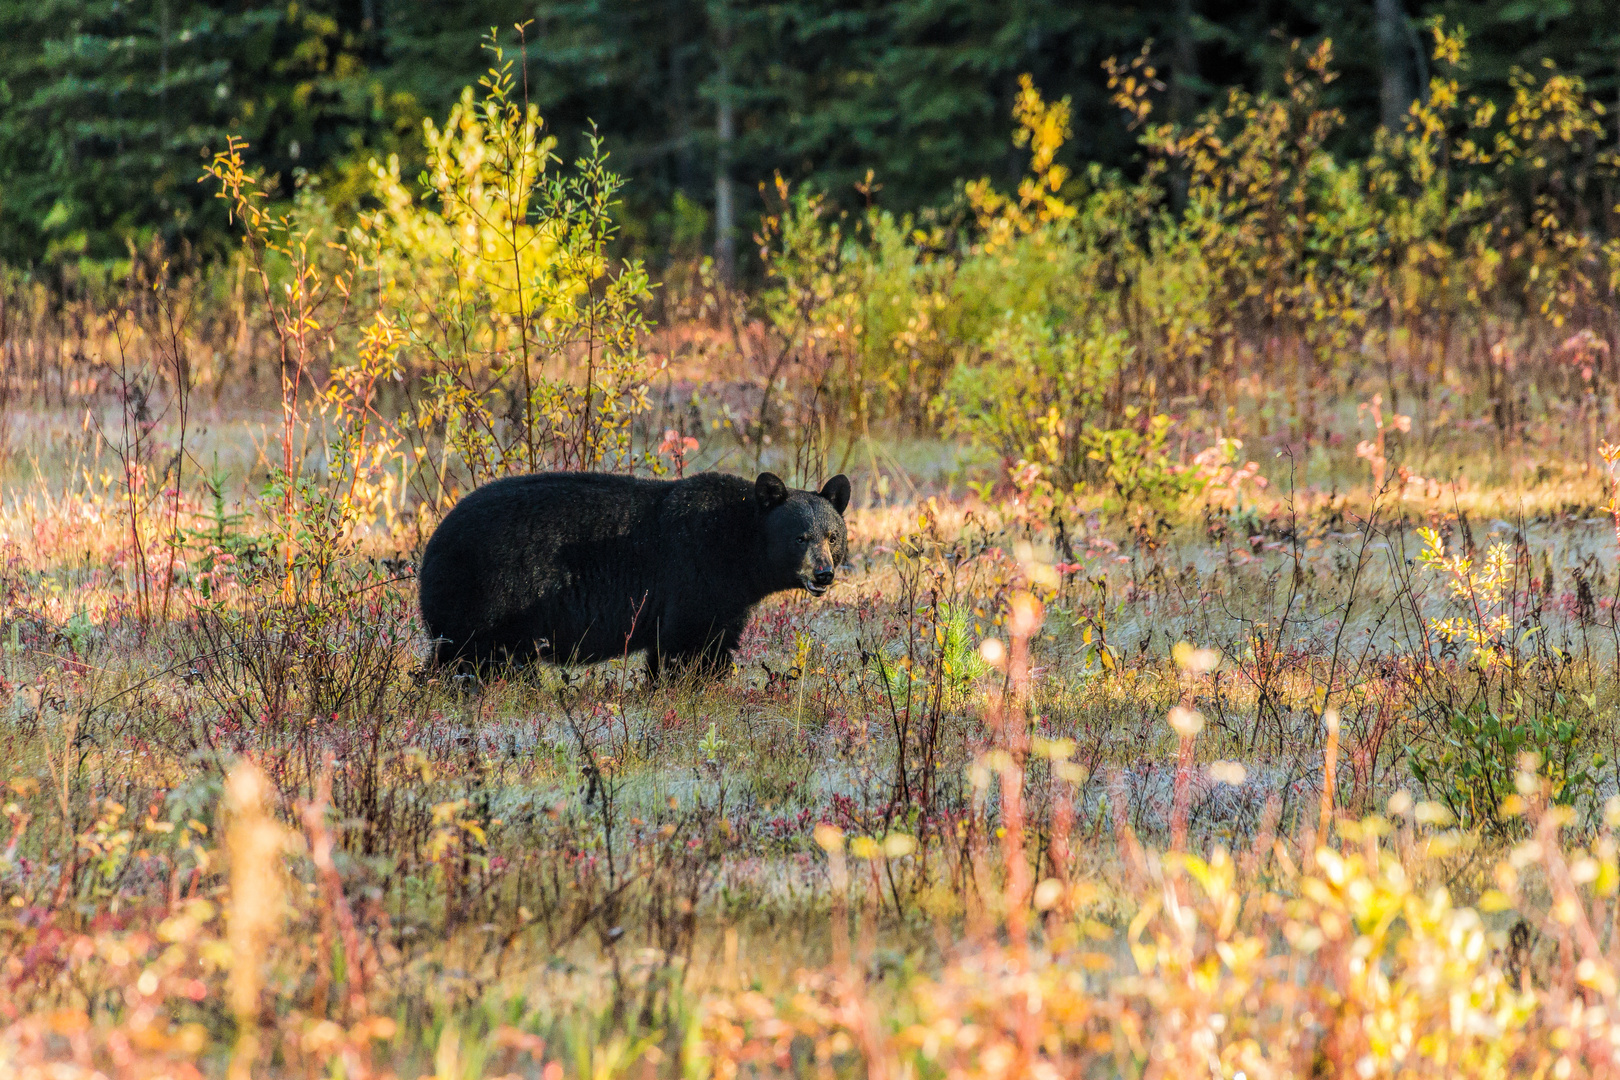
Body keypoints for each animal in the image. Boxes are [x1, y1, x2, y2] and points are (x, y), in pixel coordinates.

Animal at [414, 469, 848, 680]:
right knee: (479, 658)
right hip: (489, 595)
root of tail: (433, 542)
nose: (823, 574)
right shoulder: (695, 572)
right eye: (799, 537)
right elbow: (689, 643)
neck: (736, 540)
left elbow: (713, 638)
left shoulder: (728, 596)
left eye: (833, 536)